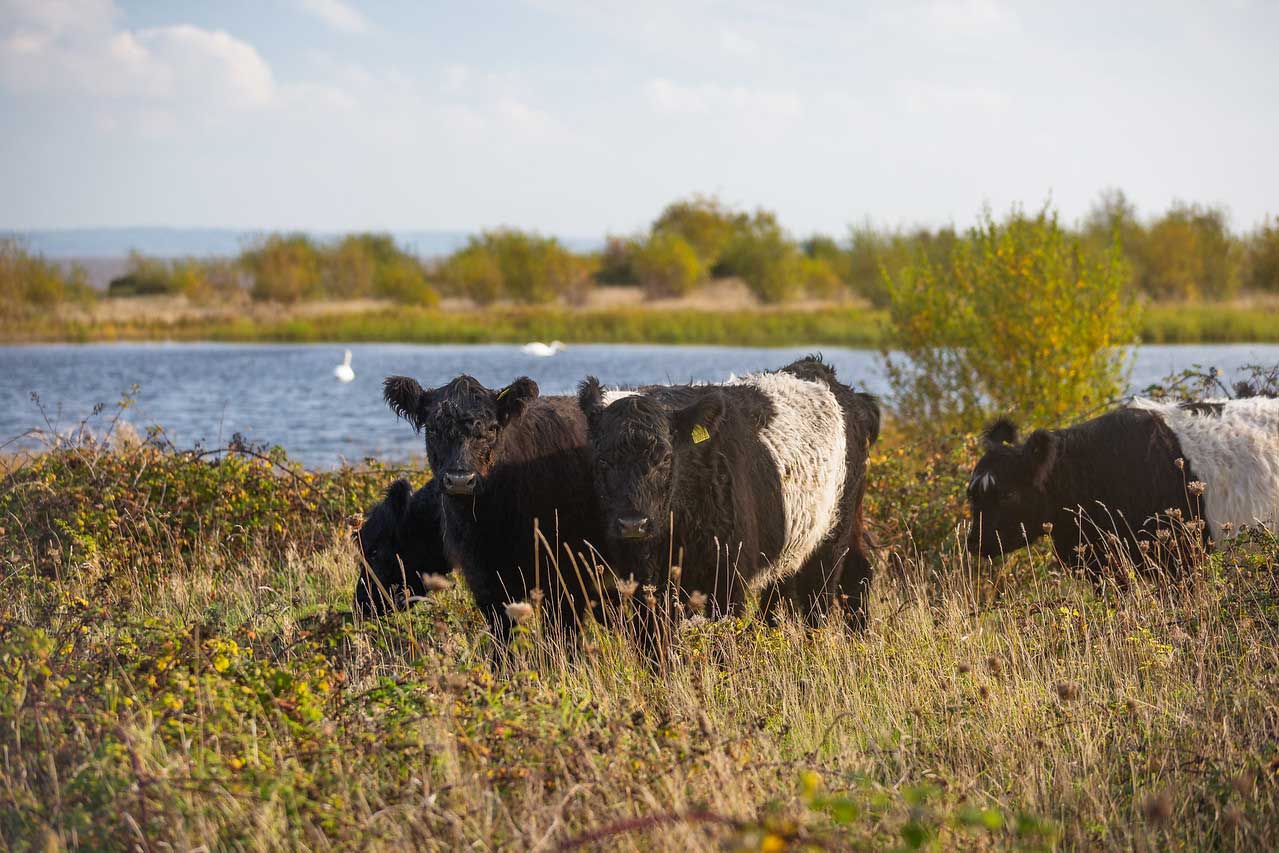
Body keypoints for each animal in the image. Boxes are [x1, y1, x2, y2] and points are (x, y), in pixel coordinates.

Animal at [382, 374, 608, 648]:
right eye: (433, 429)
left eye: (491, 428)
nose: (460, 480)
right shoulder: (485, 579)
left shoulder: (565, 576)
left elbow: (563, 634)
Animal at [576, 356, 880, 629]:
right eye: (602, 460)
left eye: (665, 458)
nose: (633, 524)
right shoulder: (642, 580)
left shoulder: (728, 578)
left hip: (832, 534)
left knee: (820, 598)